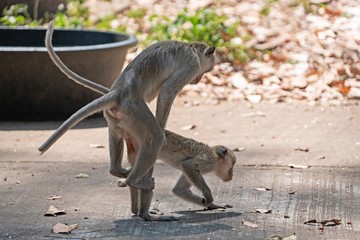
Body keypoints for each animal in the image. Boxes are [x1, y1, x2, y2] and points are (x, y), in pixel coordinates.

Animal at [39, 21, 215, 220]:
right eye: (206, 70)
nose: (198, 80)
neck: (190, 47)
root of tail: (119, 92)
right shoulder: (191, 65)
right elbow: (167, 91)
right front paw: (162, 124)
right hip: (134, 109)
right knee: (155, 138)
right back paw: (134, 181)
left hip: (115, 115)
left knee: (117, 135)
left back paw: (118, 171)